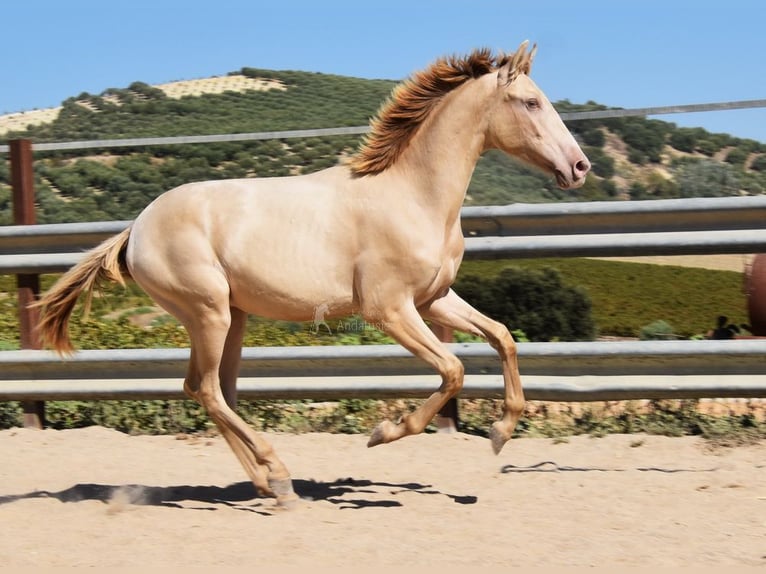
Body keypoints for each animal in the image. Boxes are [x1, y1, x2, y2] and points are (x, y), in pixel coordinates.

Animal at [33, 41, 592, 508]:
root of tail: (136, 229)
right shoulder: (389, 309)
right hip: (207, 313)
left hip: (232, 317)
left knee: (214, 390)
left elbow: (502, 338)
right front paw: (384, 433)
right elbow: (453, 370)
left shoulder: (433, 299)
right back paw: (278, 475)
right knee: (207, 390)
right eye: (531, 103)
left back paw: (267, 484)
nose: (580, 167)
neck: (412, 195)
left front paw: (500, 433)